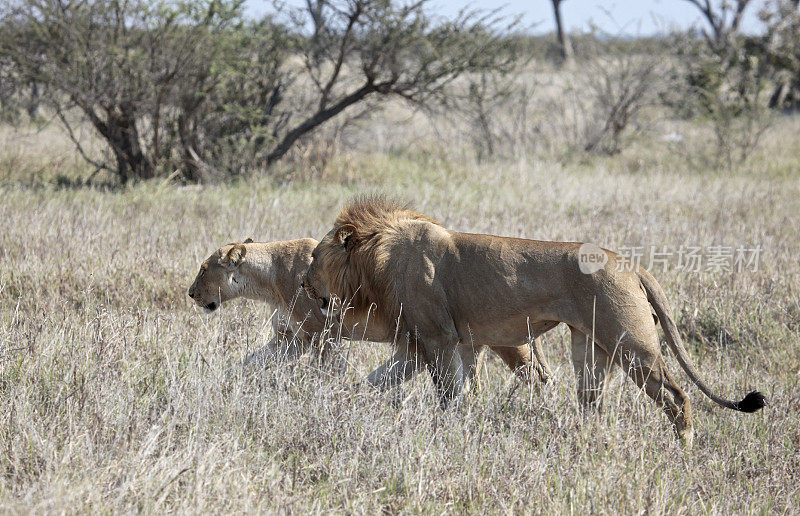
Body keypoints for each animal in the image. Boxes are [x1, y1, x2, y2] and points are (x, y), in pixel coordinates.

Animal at [187, 238, 552, 392]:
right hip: (461, 344)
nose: (190, 294)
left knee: (538, 374)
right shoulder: (290, 339)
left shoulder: (323, 336)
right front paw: (216, 381)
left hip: (506, 342)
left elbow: (328, 371)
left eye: (204, 270)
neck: (269, 281)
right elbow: (248, 364)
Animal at [304, 198, 764, 448]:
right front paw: (344, 404)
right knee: (593, 405)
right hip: (590, 348)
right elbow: (378, 383)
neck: (374, 258)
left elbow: (449, 395)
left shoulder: (438, 338)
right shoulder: (436, 345)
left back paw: (683, 450)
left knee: (676, 396)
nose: (304, 284)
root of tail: (630, 265)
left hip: (632, 343)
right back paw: (585, 443)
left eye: (312, 258)